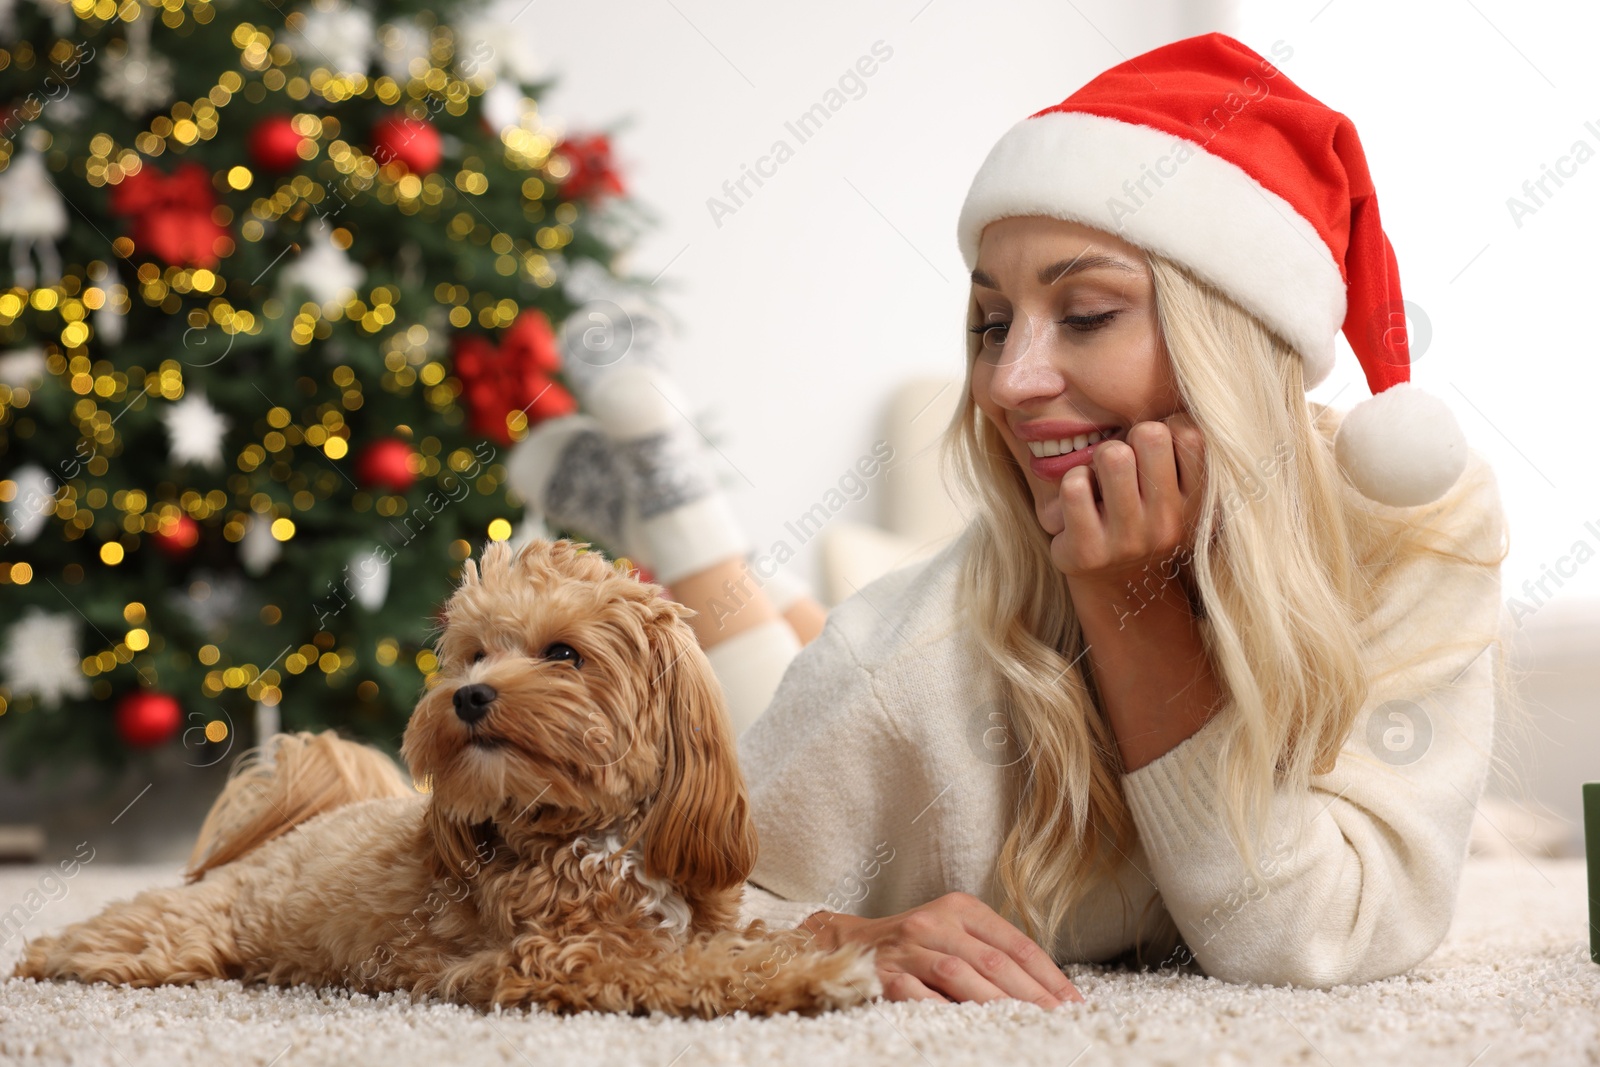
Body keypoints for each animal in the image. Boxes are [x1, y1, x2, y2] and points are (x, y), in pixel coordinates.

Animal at [9, 543, 876, 1017]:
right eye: (473, 653)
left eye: (564, 653)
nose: (469, 695)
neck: (596, 837)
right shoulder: (560, 958)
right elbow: (694, 970)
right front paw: (825, 975)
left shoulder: (686, 920)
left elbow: (740, 942)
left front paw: (811, 952)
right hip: (176, 937)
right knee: (100, 934)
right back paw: (41, 954)